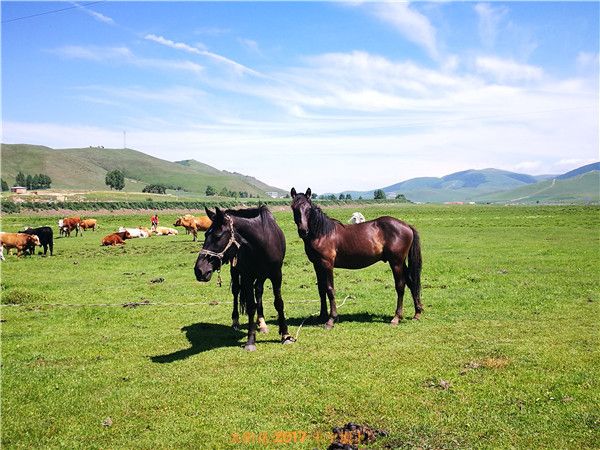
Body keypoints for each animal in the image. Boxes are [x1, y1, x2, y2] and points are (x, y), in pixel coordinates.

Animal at [195, 206, 296, 350]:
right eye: (205, 235)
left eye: (217, 236)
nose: (199, 271)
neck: (262, 243)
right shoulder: (247, 276)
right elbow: (250, 306)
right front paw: (250, 341)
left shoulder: (276, 275)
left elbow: (278, 303)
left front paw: (285, 335)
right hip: (236, 272)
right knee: (236, 291)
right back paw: (235, 321)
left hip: (261, 277)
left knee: (258, 292)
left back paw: (262, 323)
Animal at [290, 188, 422, 328]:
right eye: (293, 207)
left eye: (308, 208)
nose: (303, 231)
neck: (322, 233)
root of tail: (407, 226)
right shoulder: (317, 265)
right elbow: (321, 289)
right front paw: (322, 316)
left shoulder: (327, 264)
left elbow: (330, 289)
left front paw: (331, 319)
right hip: (401, 263)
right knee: (411, 282)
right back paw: (417, 313)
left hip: (396, 262)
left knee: (400, 286)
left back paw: (396, 317)